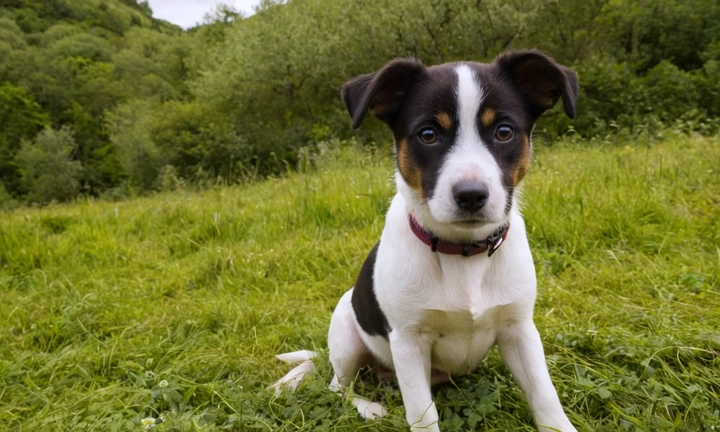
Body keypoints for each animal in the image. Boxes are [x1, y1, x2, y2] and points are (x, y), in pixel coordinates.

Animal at [272, 49, 584, 430]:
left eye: (504, 131)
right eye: (429, 134)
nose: (471, 195)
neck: (463, 251)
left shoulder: (520, 330)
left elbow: (544, 395)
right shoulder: (408, 342)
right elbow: (423, 413)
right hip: (346, 333)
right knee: (338, 387)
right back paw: (368, 406)